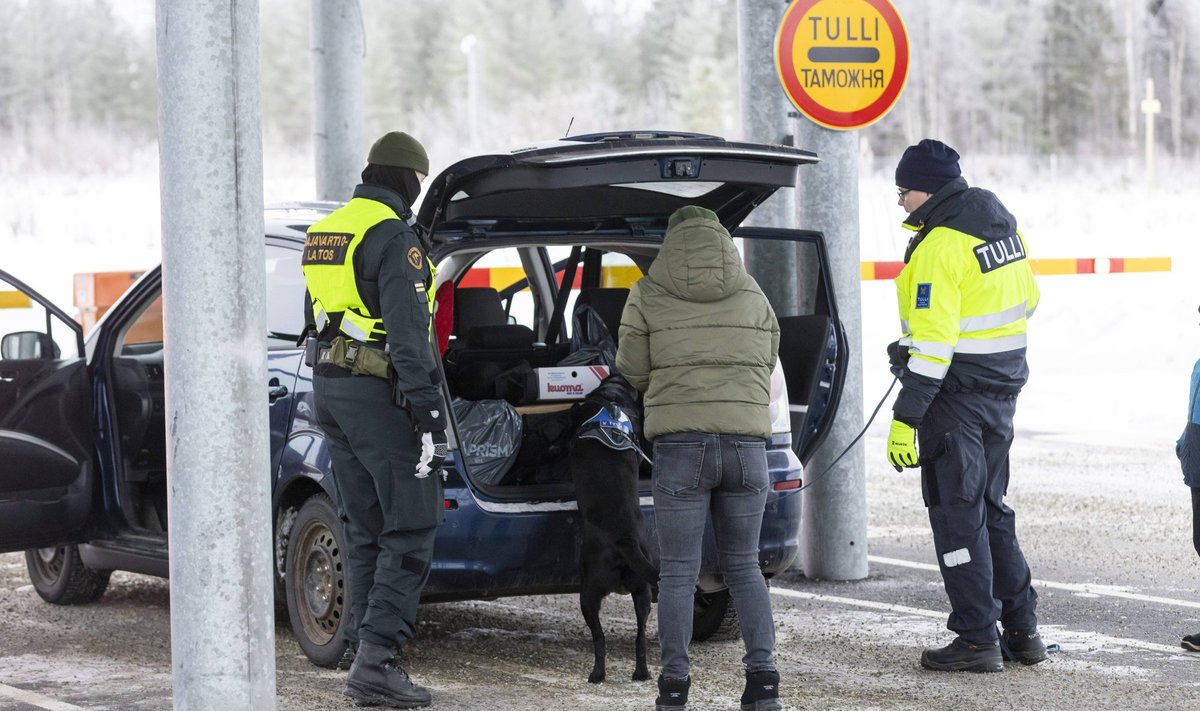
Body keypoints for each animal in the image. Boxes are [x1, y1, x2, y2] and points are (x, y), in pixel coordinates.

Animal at [568, 372, 662, 682]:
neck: (611, 399)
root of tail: (625, 542)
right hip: (642, 593)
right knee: (640, 636)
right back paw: (641, 673)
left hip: (588, 593)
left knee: (599, 638)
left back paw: (597, 673)